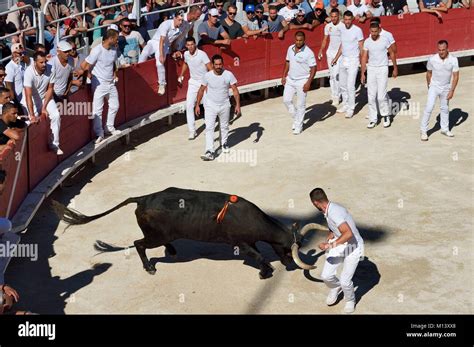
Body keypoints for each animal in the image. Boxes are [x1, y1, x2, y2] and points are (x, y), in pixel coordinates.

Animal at [52, 188, 326, 280]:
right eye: (286, 248)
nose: (290, 263)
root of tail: (142, 198)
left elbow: (260, 255)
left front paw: (266, 271)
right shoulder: (242, 242)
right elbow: (259, 256)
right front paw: (264, 273)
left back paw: (172, 251)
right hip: (155, 236)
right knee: (139, 243)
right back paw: (150, 267)